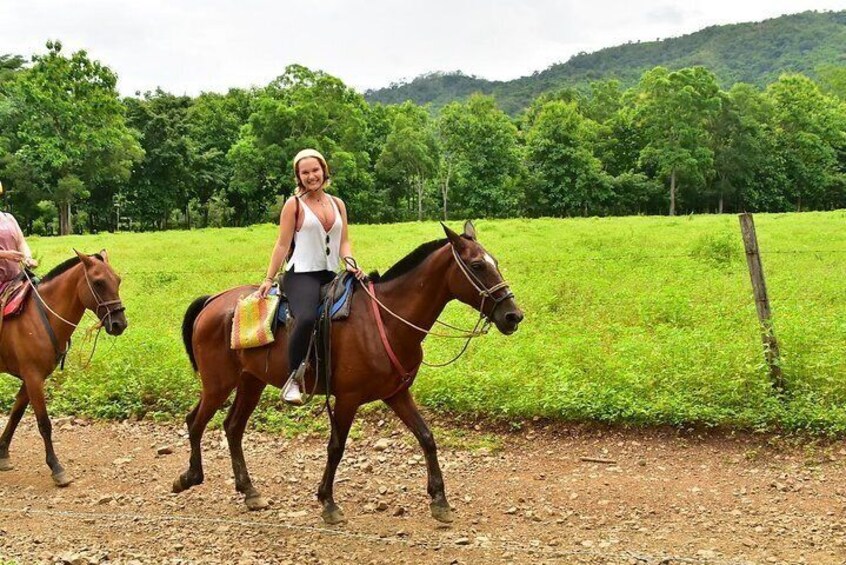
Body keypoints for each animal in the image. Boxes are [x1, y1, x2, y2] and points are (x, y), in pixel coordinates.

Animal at [0, 251, 127, 484]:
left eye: (118, 280)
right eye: (98, 282)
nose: (119, 324)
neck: (42, 317)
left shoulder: (31, 378)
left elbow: (16, 414)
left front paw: (3, 453)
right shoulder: (33, 378)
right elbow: (44, 424)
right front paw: (56, 467)